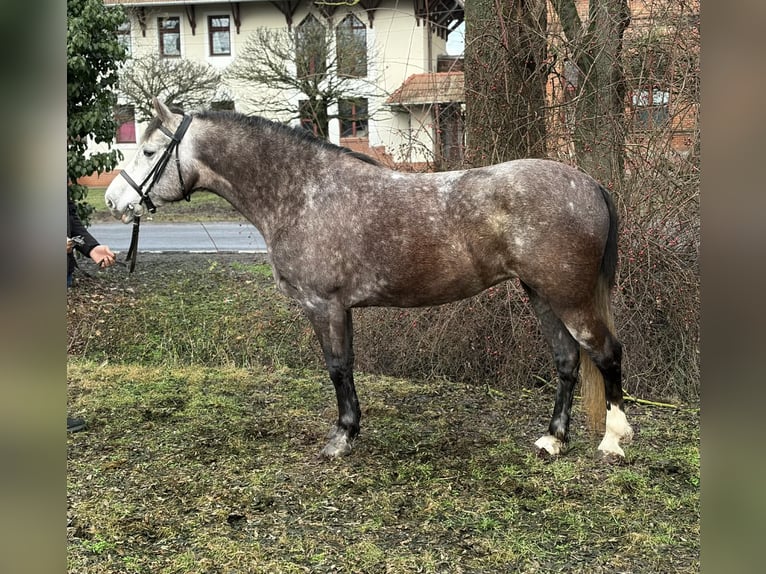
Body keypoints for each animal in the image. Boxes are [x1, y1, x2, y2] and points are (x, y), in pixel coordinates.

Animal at [105, 98, 633, 460]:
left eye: (148, 150)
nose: (114, 201)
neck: (305, 192)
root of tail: (589, 184)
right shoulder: (342, 308)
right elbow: (349, 367)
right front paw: (351, 429)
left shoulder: (322, 305)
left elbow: (337, 367)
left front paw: (341, 437)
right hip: (541, 295)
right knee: (567, 361)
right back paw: (553, 439)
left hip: (570, 298)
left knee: (606, 354)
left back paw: (613, 440)